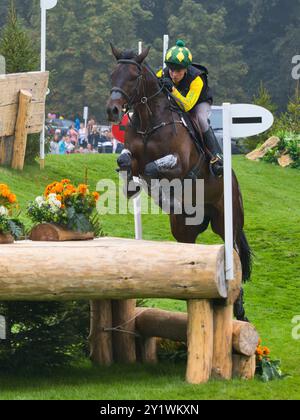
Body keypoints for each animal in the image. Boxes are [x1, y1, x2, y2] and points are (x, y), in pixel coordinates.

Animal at [106, 45, 252, 322]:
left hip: (226, 220)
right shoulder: (131, 155)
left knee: (235, 251)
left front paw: (164, 196)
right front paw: (132, 187)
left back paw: (239, 309)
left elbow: (152, 168)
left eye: (134, 76)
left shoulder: (180, 164)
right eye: (112, 75)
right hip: (184, 230)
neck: (149, 122)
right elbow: (125, 161)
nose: (113, 111)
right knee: (191, 252)